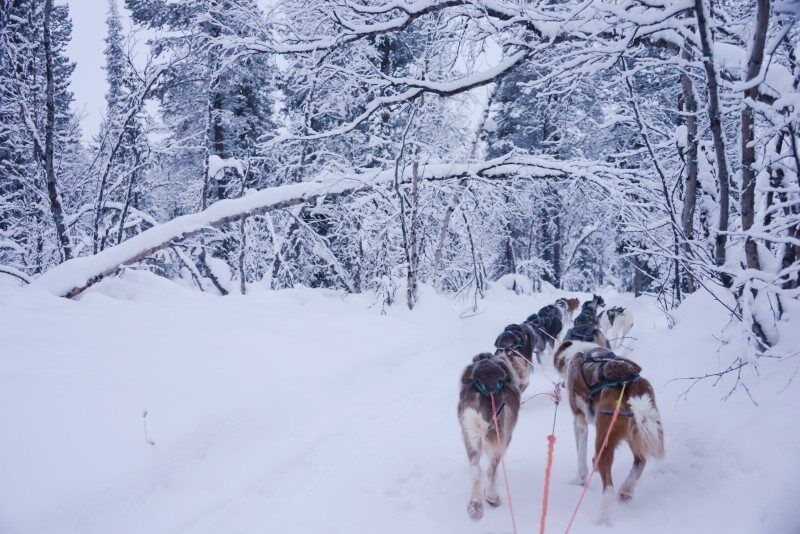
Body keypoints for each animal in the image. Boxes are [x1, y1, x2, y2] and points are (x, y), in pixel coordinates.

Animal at [460, 356, 520, 524]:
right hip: (500, 438)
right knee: (491, 470)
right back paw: (492, 497)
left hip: (469, 436)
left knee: (476, 471)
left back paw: (475, 505)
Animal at [552, 342, 664, 524]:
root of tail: (628, 380)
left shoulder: (579, 420)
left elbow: (580, 454)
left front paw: (579, 479)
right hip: (635, 433)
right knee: (640, 462)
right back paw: (626, 491)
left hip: (603, 439)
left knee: (609, 487)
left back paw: (602, 519)